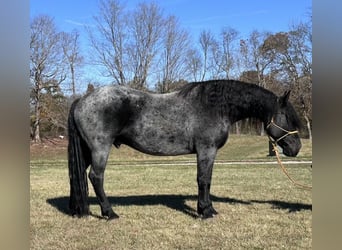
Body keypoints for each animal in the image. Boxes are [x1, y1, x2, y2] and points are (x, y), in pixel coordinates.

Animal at [67, 79, 302, 220]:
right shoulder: (207, 150)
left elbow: (206, 180)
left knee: (79, 175)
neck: (215, 107)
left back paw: (78, 210)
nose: (296, 148)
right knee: (96, 177)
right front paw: (206, 211)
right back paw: (110, 213)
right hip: (100, 148)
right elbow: (204, 180)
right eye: (286, 116)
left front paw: (206, 208)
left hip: (88, 151)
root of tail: (81, 100)